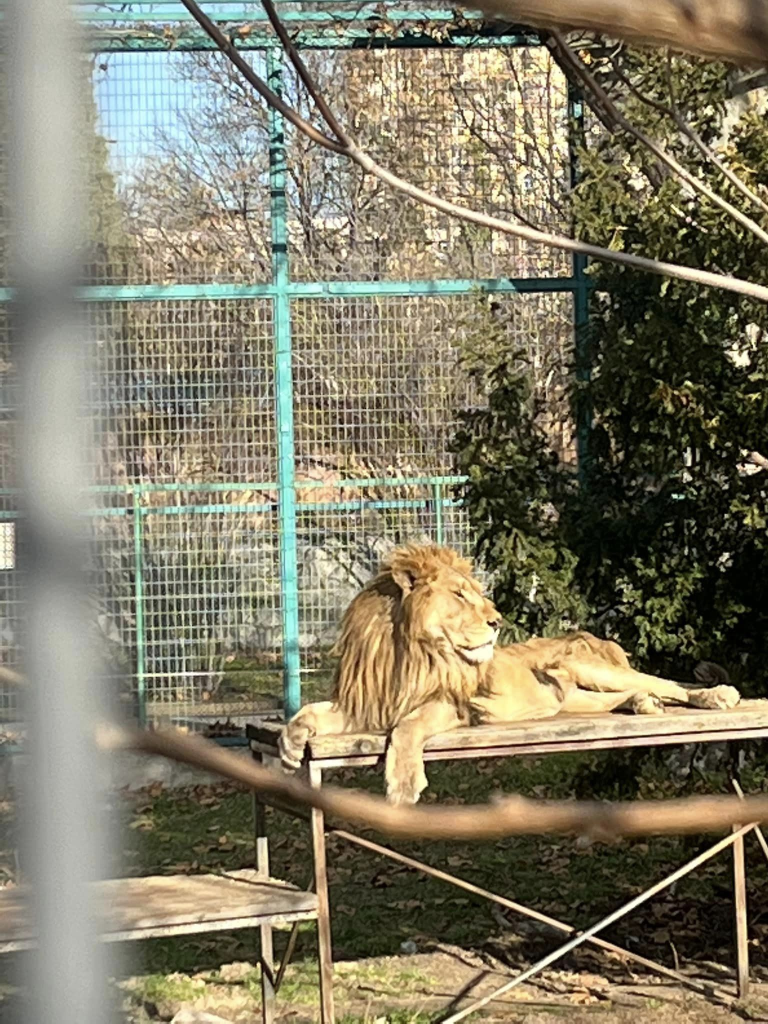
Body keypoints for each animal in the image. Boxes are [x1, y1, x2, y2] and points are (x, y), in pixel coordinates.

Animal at [280, 544, 741, 806]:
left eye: (476, 594)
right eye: (460, 595)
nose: (497, 621)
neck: (407, 651)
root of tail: (589, 634)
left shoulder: (453, 704)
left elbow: (409, 726)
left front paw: (404, 784)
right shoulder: (368, 703)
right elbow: (308, 711)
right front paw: (289, 748)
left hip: (589, 664)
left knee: (667, 682)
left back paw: (716, 695)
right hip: (574, 696)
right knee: (621, 696)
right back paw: (645, 705)